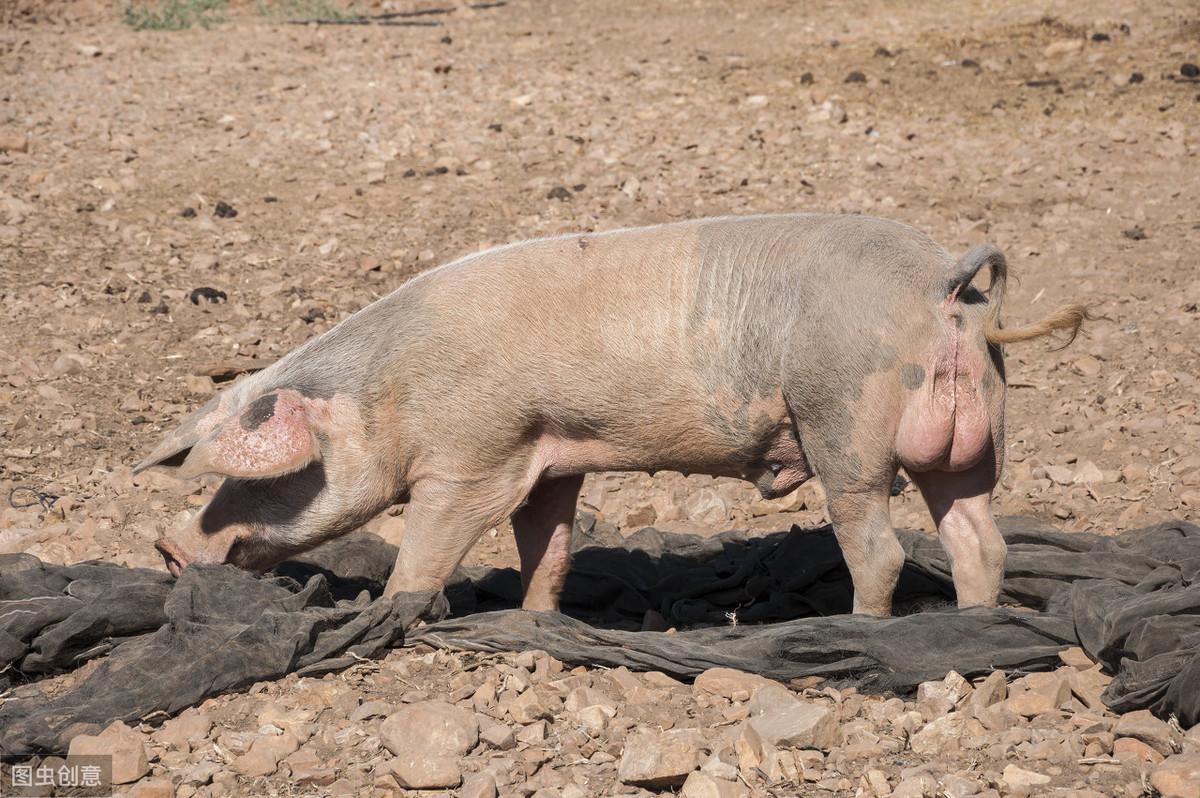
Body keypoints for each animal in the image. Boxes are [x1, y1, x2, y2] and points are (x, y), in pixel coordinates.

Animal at [133, 213, 1089, 614]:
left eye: (260, 479)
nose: (167, 547)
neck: (389, 394)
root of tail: (942, 280)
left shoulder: (473, 455)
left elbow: (430, 545)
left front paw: (396, 614)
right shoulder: (551, 456)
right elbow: (546, 548)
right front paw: (535, 622)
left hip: (844, 424)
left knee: (882, 547)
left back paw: (861, 633)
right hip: (976, 438)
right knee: (979, 538)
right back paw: (971, 626)